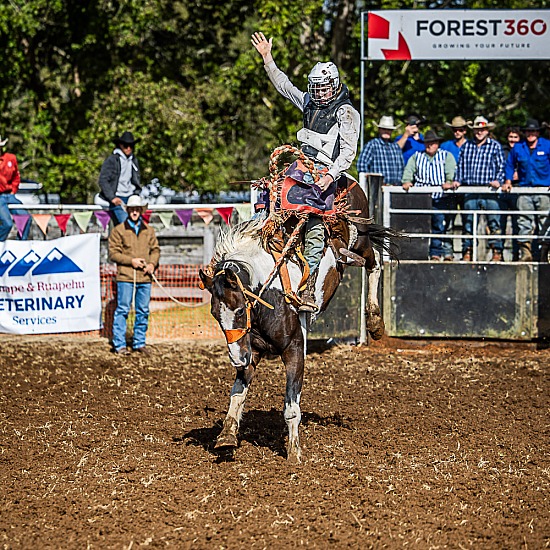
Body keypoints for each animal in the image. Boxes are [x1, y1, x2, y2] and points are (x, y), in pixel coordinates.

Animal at [201, 179, 404, 464]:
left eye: (240, 311)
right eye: (214, 314)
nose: (236, 358)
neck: (270, 292)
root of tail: (350, 181)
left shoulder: (295, 349)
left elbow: (291, 406)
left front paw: (294, 453)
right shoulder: (252, 351)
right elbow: (237, 394)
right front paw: (226, 436)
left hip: (359, 236)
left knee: (373, 260)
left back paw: (375, 322)